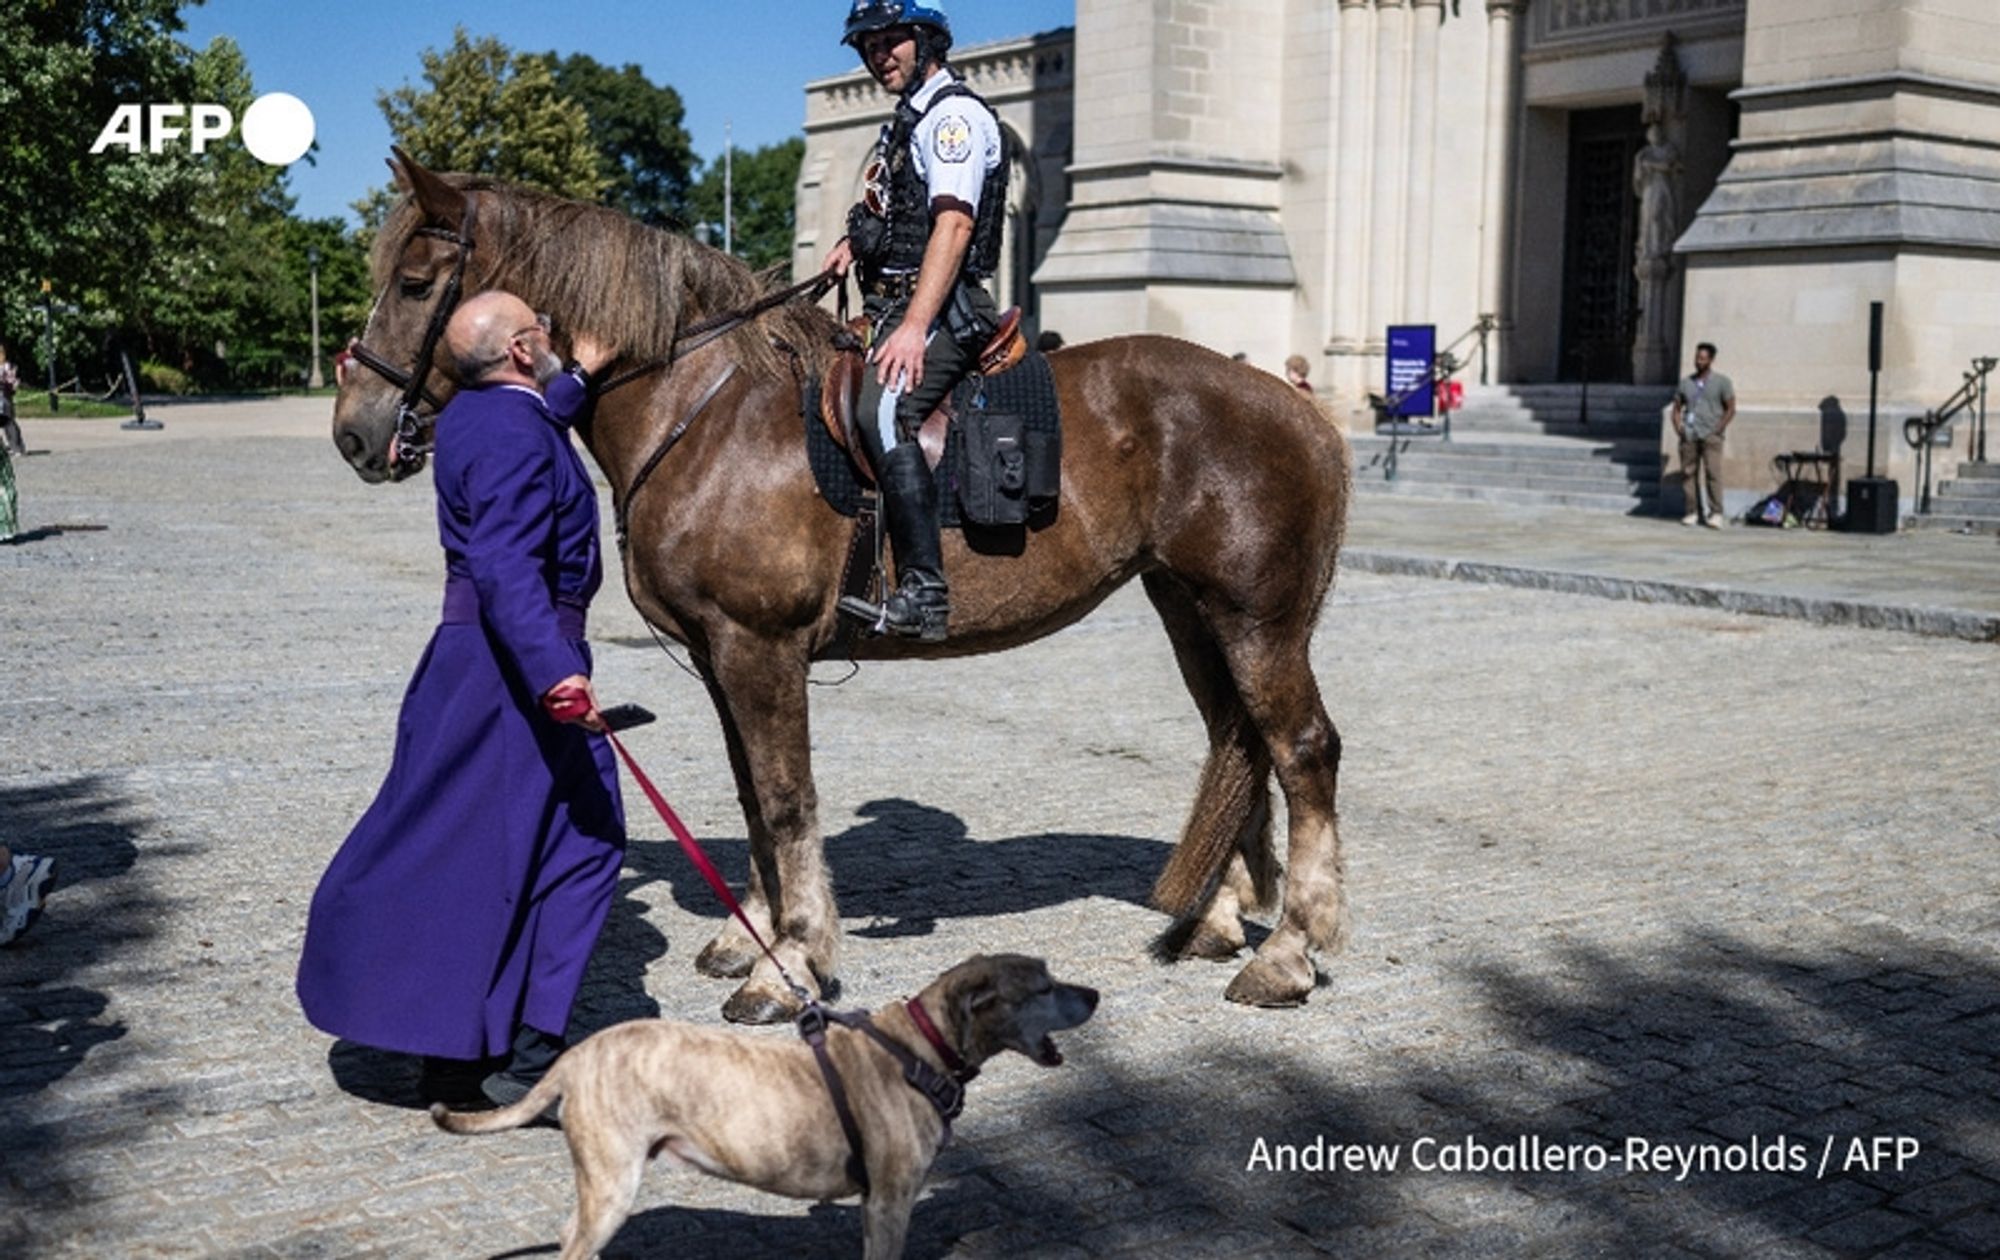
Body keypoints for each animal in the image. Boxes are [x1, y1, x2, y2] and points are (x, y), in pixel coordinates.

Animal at [336, 156, 1352, 1024]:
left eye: (416, 284)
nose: (355, 429)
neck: (703, 410)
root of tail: (1292, 402)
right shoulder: (720, 658)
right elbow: (752, 793)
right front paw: (749, 939)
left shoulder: (760, 649)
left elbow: (788, 799)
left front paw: (789, 964)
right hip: (1193, 612)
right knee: (1239, 742)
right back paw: (1220, 922)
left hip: (1255, 622)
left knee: (1301, 750)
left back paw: (1290, 953)